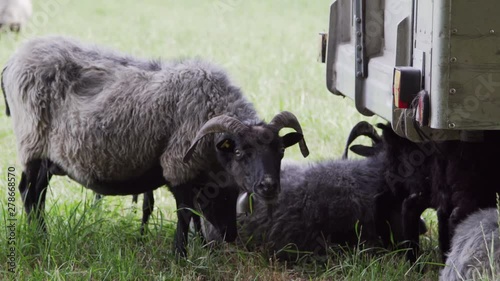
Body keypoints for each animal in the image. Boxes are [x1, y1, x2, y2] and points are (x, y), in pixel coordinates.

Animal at [2, 35, 308, 254]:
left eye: (281, 151)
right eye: (241, 152)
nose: (269, 186)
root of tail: (14, 59)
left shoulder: (202, 178)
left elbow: (198, 214)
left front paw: (202, 249)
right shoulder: (178, 165)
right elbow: (185, 214)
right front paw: (180, 255)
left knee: (34, 194)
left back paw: (38, 235)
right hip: (33, 144)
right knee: (31, 195)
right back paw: (41, 239)